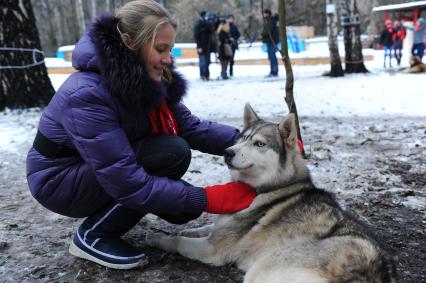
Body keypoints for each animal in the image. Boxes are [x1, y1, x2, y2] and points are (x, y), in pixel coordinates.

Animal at [146, 105, 396, 283]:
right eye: (241, 138)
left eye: (259, 144)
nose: (227, 152)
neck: (269, 187)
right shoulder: (219, 230)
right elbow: (203, 228)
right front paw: (187, 229)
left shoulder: (211, 250)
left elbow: (178, 241)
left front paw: (158, 238)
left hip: (262, 269)